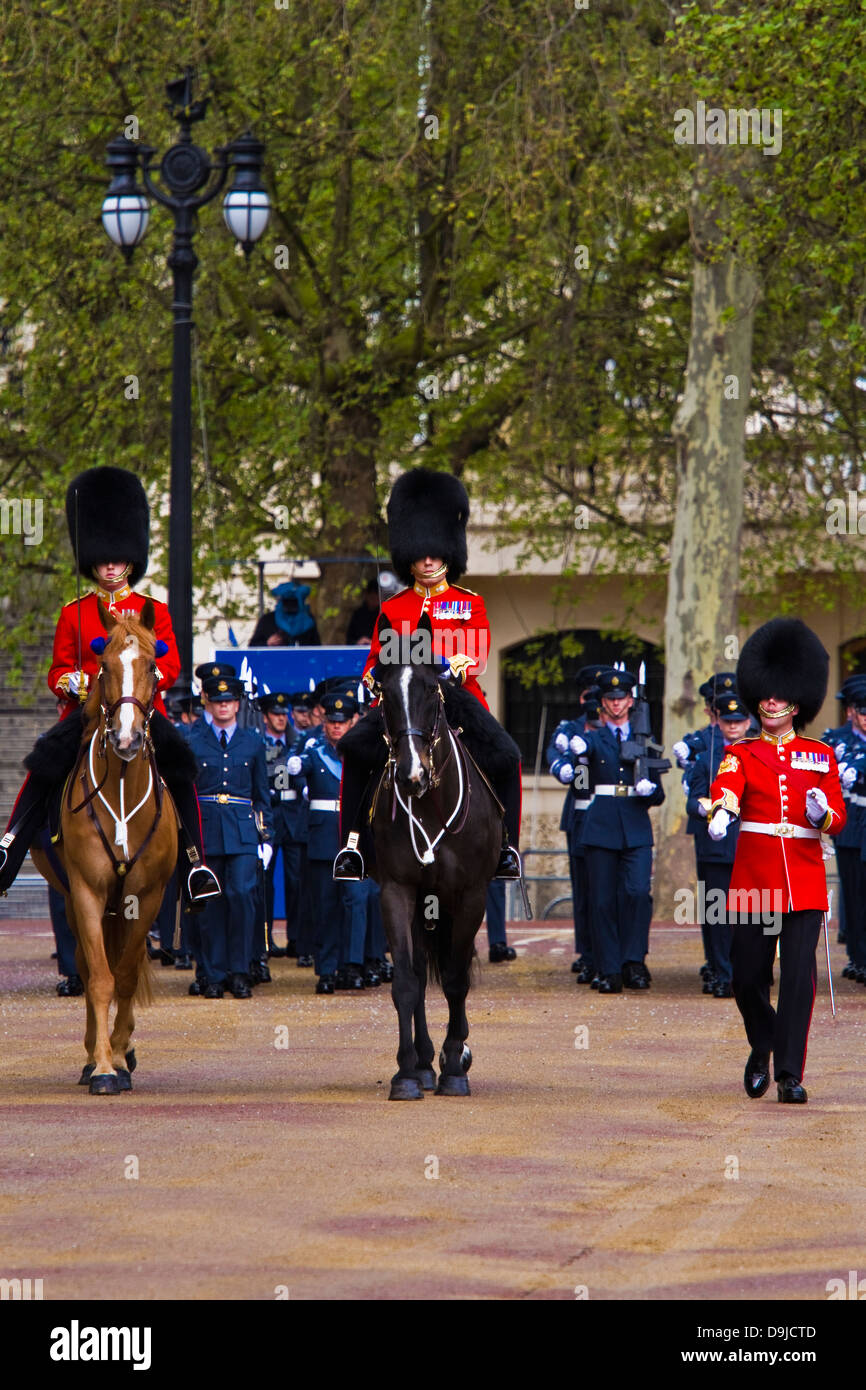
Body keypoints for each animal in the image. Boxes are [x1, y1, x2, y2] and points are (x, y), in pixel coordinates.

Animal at [31, 597, 177, 1095]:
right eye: (103, 665)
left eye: (153, 666)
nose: (127, 739)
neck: (121, 787)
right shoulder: (87, 892)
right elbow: (98, 976)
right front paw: (102, 1067)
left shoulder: (148, 896)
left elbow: (126, 974)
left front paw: (117, 1054)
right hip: (73, 899)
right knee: (84, 960)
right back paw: (92, 1055)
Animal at [358, 625, 508, 1100]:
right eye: (385, 693)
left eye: (429, 689)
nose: (411, 776)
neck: (430, 803)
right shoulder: (397, 890)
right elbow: (407, 981)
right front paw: (407, 1072)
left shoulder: (470, 894)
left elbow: (458, 978)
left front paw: (455, 1065)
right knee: (422, 974)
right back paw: (425, 1062)